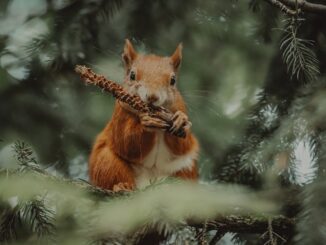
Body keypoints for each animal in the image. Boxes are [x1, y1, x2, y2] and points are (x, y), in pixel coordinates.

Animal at [88, 38, 199, 191]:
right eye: (132, 75)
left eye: (173, 80)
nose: (152, 96)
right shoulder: (120, 115)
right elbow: (127, 143)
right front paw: (147, 123)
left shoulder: (180, 107)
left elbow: (183, 146)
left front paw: (181, 120)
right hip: (107, 162)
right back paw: (123, 186)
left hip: (186, 168)